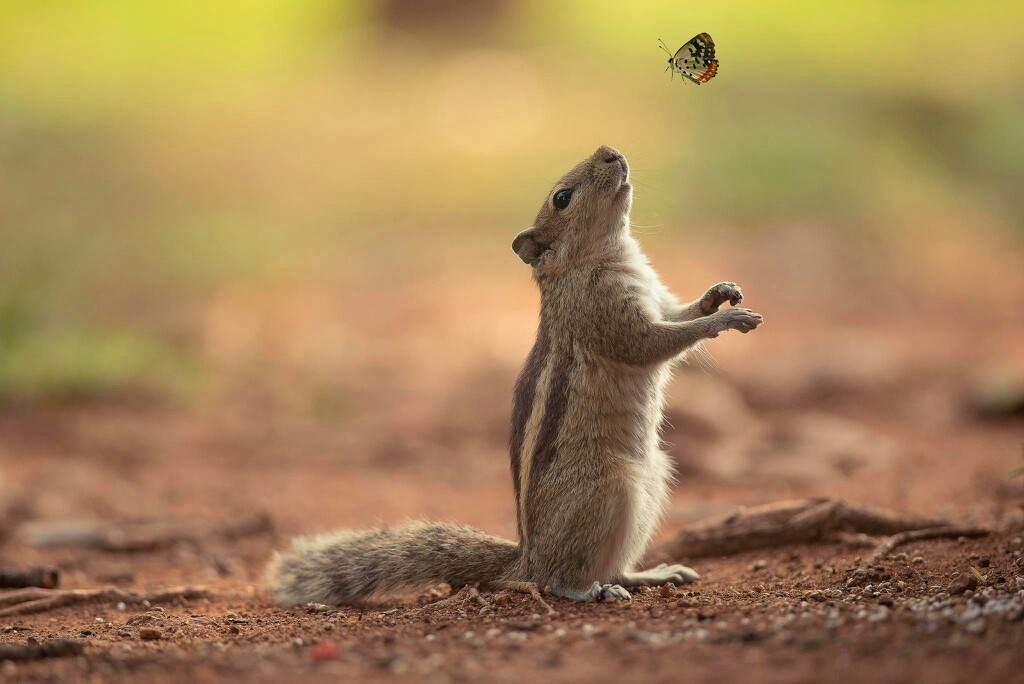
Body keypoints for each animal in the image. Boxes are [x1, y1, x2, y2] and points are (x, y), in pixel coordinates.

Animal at [268, 144, 765, 602]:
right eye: (562, 198)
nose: (609, 151)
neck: (597, 259)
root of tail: (526, 559)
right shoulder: (606, 316)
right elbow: (654, 343)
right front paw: (727, 319)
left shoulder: (657, 299)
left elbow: (680, 314)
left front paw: (719, 294)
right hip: (610, 488)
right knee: (558, 579)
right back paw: (589, 591)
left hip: (654, 479)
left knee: (613, 565)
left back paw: (651, 575)